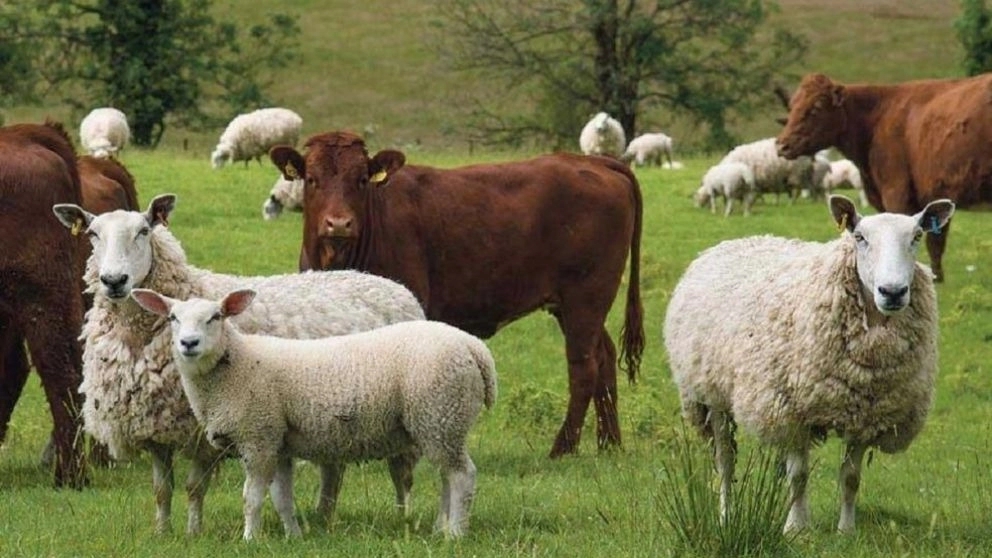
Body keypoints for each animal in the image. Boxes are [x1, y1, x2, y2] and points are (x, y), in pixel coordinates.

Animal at [51, 194, 426, 535]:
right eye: (93, 234)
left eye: (143, 231)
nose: (114, 281)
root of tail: (390, 285)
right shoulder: (154, 429)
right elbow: (161, 491)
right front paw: (162, 533)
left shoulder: (203, 432)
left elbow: (194, 488)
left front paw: (193, 533)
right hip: (333, 419)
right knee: (333, 469)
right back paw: (322, 518)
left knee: (402, 475)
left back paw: (403, 518)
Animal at [131, 288, 497, 540]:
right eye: (173, 318)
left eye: (216, 317)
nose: (188, 343)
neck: (236, 365)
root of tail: (473, 347)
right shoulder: (277, 442)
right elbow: (281, 497)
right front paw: (293, 535)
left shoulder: (258, 437)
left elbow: (252, 497)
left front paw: (250, 539)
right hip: (442, 424)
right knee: (447, 476)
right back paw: (441, 528)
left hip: (440, 414)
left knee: (463, 476)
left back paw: (456, 534)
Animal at [270, 131, 645, 458]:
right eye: (311, 179)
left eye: (361, 180)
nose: (339, 224)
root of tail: (593, 162)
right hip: (573, 307)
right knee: (605, 357)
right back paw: (610, 444)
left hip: (586, 297)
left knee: (584, 368)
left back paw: (563, 448)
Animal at [663, 195, 954, 534]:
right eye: (860, 238)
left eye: (917, 236)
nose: (892, 292)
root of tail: (738, 240)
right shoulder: (791, 411)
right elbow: (799, 475)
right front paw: (796, 528)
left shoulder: (866, 414)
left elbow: (850, 478)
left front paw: (845, 530)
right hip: (710, 394)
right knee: (725, 462)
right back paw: (726, 515)